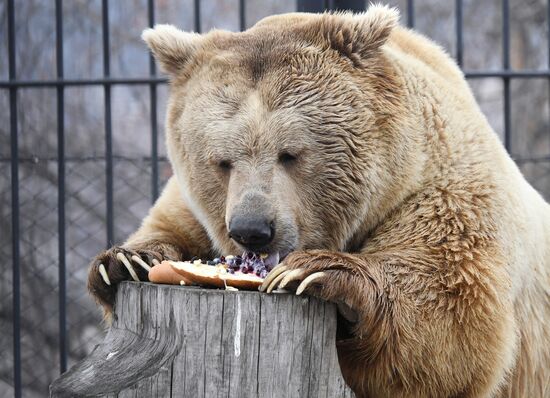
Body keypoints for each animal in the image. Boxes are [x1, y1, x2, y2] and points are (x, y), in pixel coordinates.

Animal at [87, 6, 550, 398]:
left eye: (290, 153)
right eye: (221, 160)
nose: (252, 230)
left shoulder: (442, 191)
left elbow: (451, 322)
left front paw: (317, 272)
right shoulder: (195, 207)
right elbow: (168, 228)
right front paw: (125, 261)